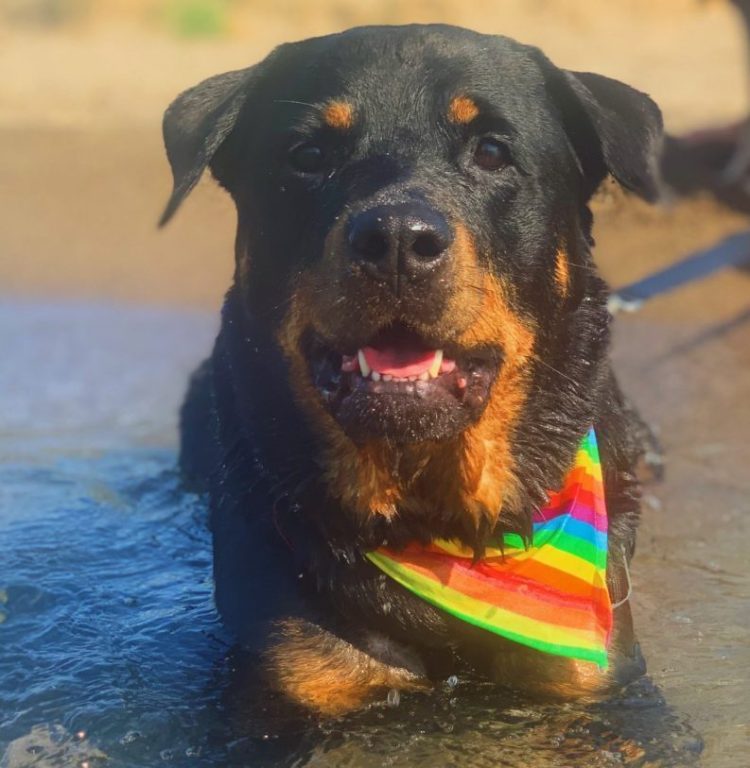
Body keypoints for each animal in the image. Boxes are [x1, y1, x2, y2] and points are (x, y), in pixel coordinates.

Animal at [162, 24, 663, 716]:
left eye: (491, 151)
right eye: (308, 155)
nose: (396, 237)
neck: (433, 523)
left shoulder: (593, 673)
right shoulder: (299, 669)